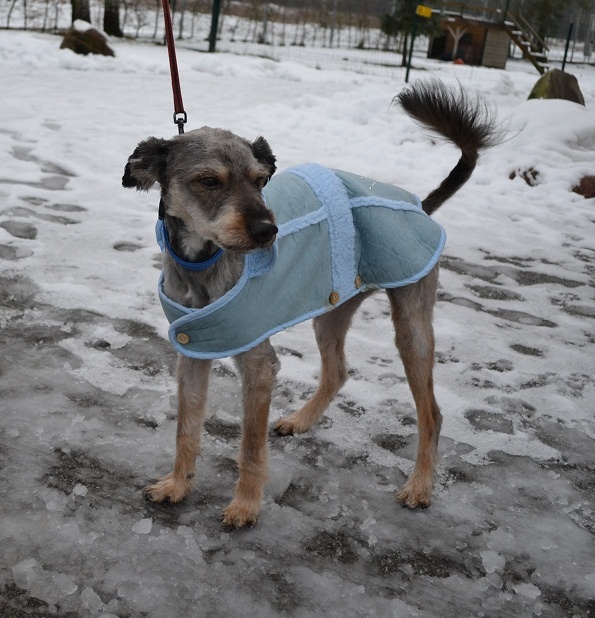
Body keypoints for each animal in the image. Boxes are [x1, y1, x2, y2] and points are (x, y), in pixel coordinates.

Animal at [122, 81, 496, 528]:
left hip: (411, 326)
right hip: (331, 310)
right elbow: (186, 429)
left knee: (432, 414)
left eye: (260, 180)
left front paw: (245, 505)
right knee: (337, 371)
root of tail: (419, 206)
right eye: (209, 181)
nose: (267, 231)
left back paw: (420, 486)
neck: (203, 262)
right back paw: (302, 420)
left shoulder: (259, 367)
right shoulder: (193, 350)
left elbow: (250, 447)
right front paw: (178, 485)